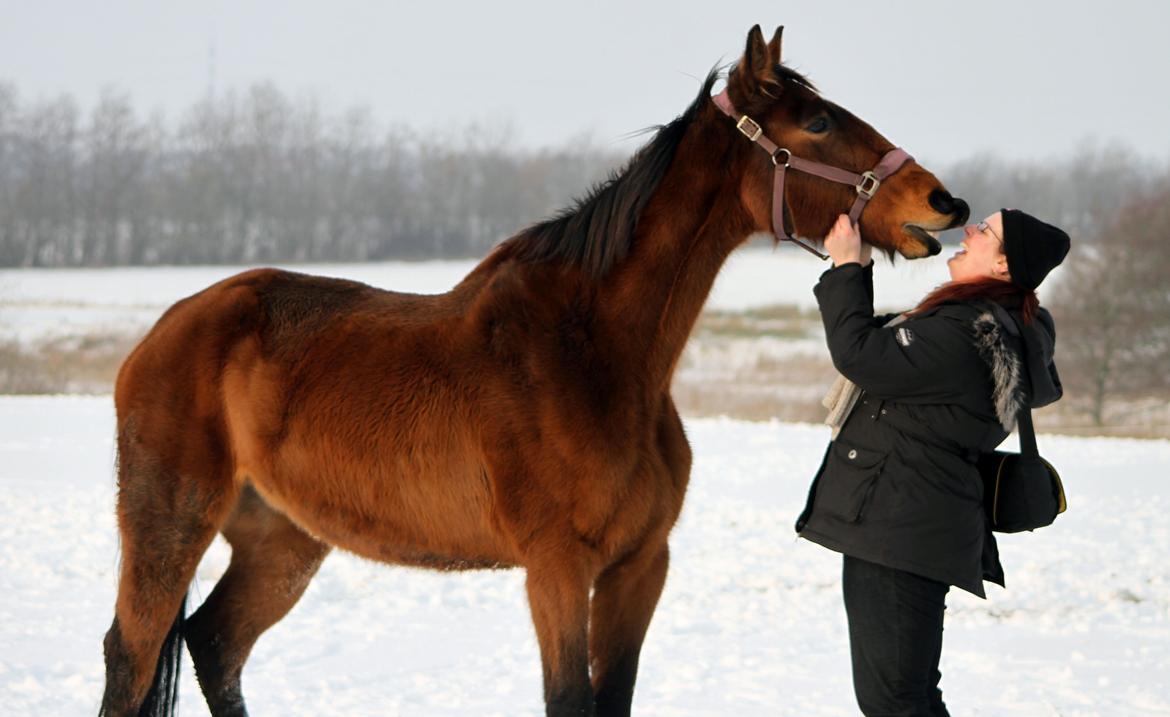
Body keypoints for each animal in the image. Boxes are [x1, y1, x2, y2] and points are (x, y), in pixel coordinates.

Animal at [98, 23, 968, 715]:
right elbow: (568, 698)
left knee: (215, 644)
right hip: (170, 524)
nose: (942, 202)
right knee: (132, 654)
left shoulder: (639, 567)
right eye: (818, 122)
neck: (598, 357)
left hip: (283, 540)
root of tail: (167, 330)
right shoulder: (556, 567)